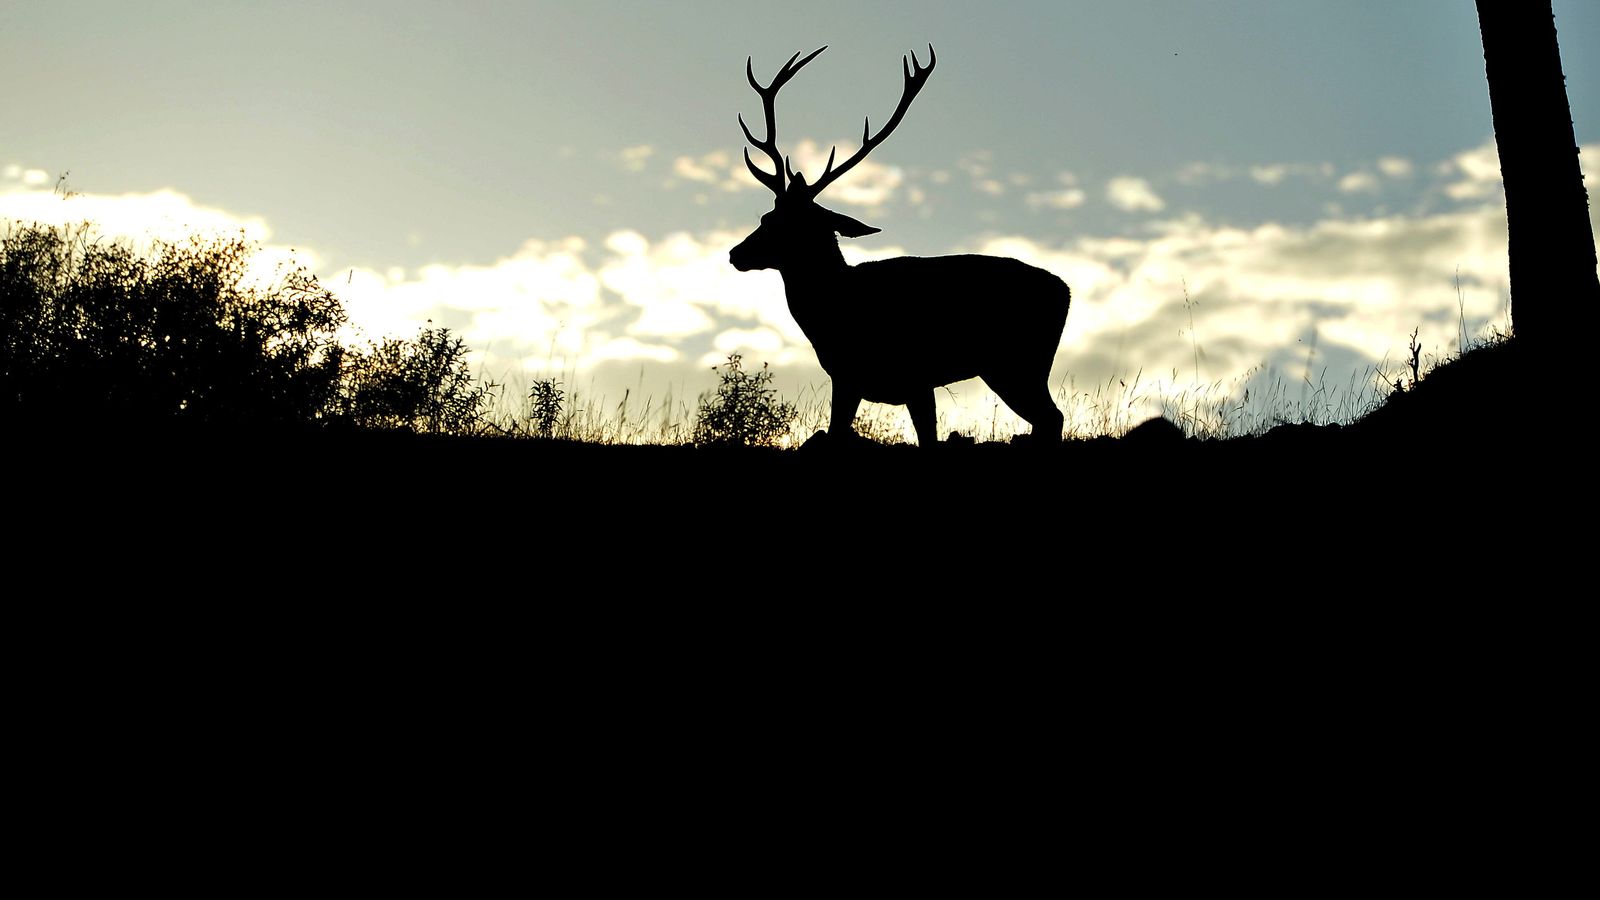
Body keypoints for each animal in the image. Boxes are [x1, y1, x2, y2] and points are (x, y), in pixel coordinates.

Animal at [729, 46, 1070, 447]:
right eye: (767, 215)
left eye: (779, 223)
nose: (735, 253)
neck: (833, 311)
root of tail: (1065, 291)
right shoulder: (855, 378)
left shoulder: (906, 376)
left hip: (1016, 362)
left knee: (1053, 417)